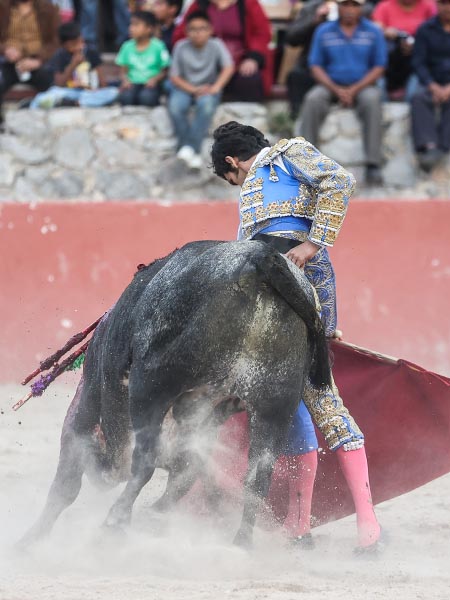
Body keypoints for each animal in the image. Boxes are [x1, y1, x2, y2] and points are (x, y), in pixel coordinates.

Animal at [22, 239, 330, 548]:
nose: (105, 474)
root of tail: (259, 257)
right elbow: (188, 476)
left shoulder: (86, 403)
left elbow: (66, 484)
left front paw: (29, 539)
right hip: (275, 409)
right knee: (257, 479)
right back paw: (239, 544)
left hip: (151, 385)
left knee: (145, 461)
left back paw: (114, 522)